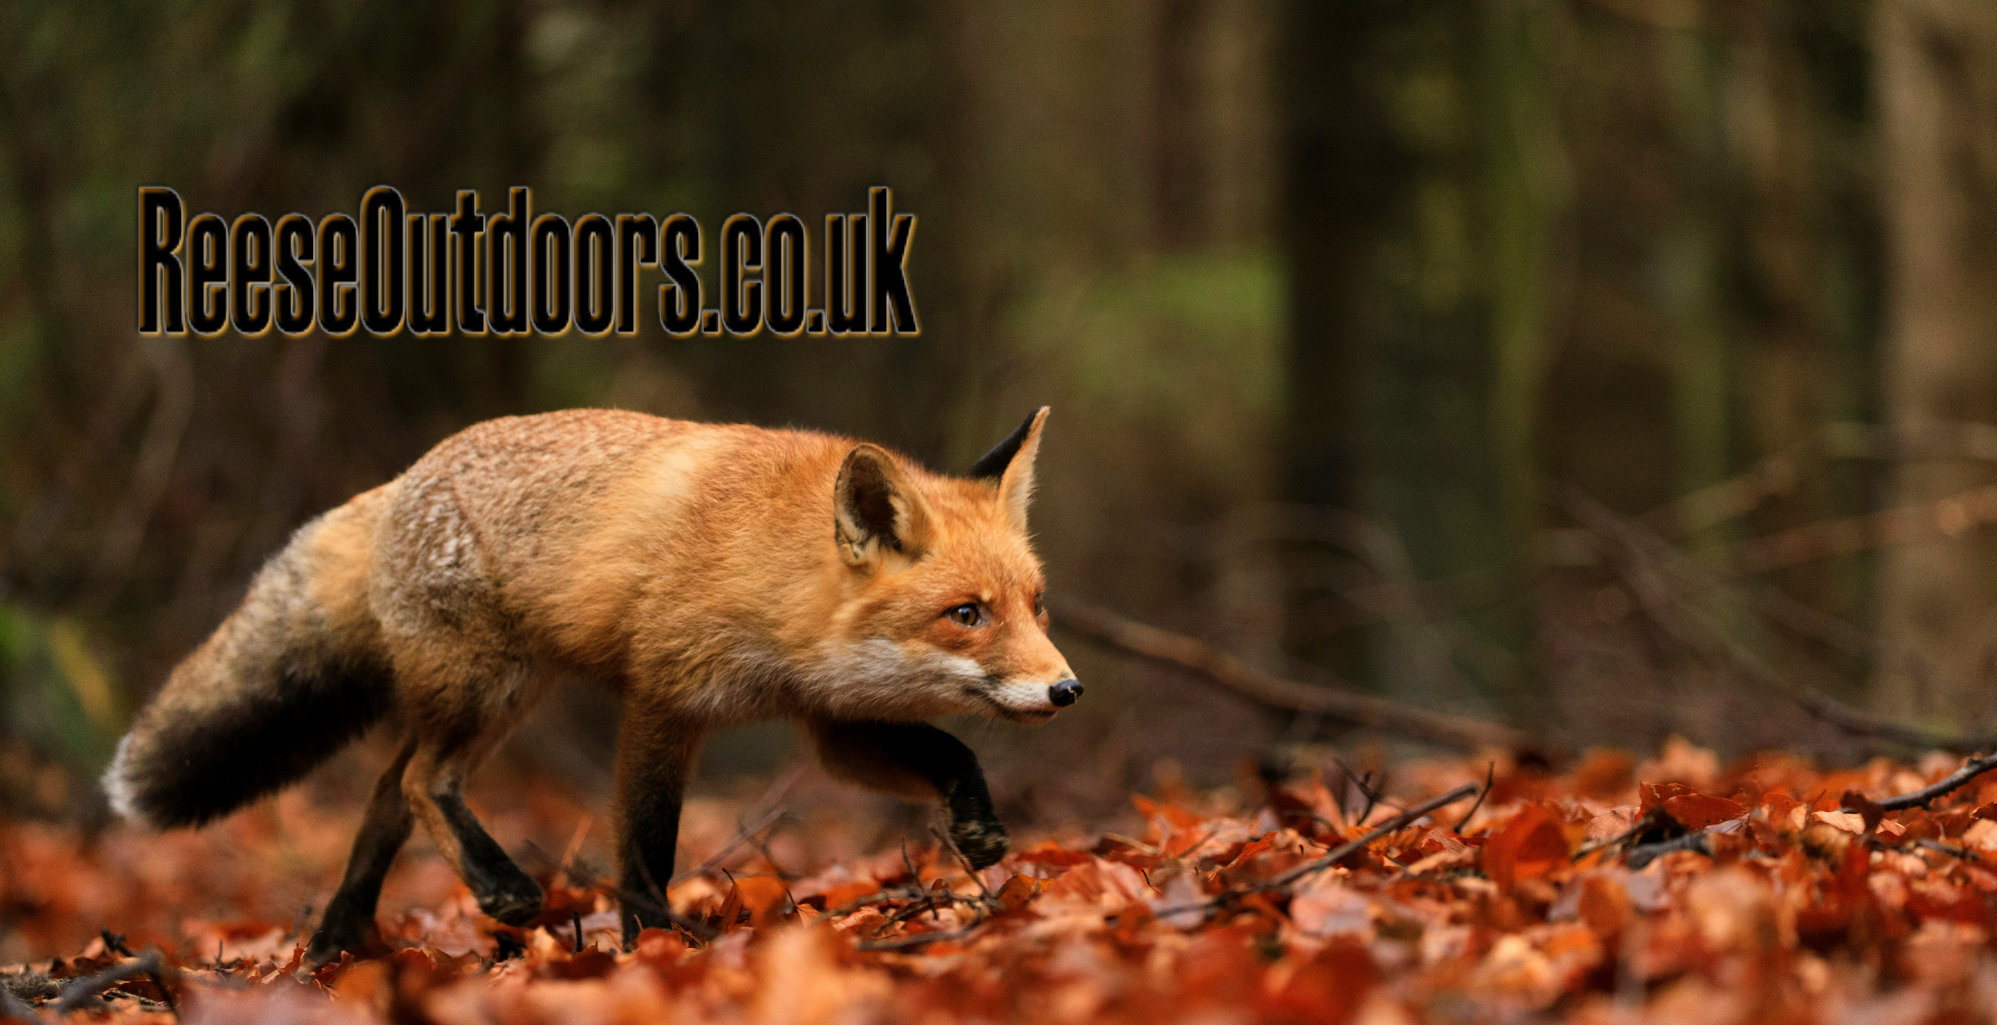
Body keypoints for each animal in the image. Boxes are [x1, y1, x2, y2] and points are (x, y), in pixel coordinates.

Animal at [102, 407, 1080, 964]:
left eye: (1035, 604)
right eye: (965, 613)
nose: (1066, 689)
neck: (774, 575)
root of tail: (400, 479)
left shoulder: (829, 720)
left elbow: (948, 749)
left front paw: (977, 825)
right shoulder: (662, 698)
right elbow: (643, 847)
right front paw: (653, 948)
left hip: (490, 693)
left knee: (384, 791)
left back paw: (337, 944)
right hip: (489, 687)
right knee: (418, 781)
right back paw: (497, 888)